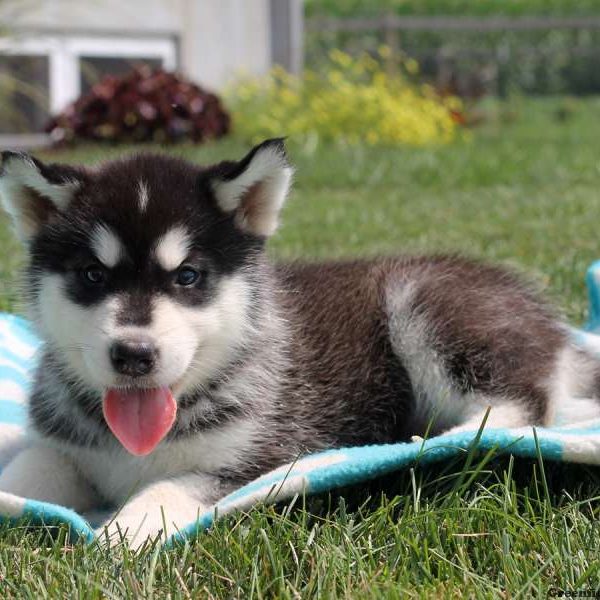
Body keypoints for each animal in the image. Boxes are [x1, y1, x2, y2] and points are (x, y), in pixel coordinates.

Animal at [1, 142, 600, 548]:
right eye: (93, 276)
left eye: (188, 277)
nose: (133, 354)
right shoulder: (63, 448)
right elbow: (29, 473)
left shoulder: (256, 460)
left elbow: (168, 488)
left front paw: (121, 531)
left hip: (427, 304)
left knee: (522, 402)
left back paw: (437, 438)